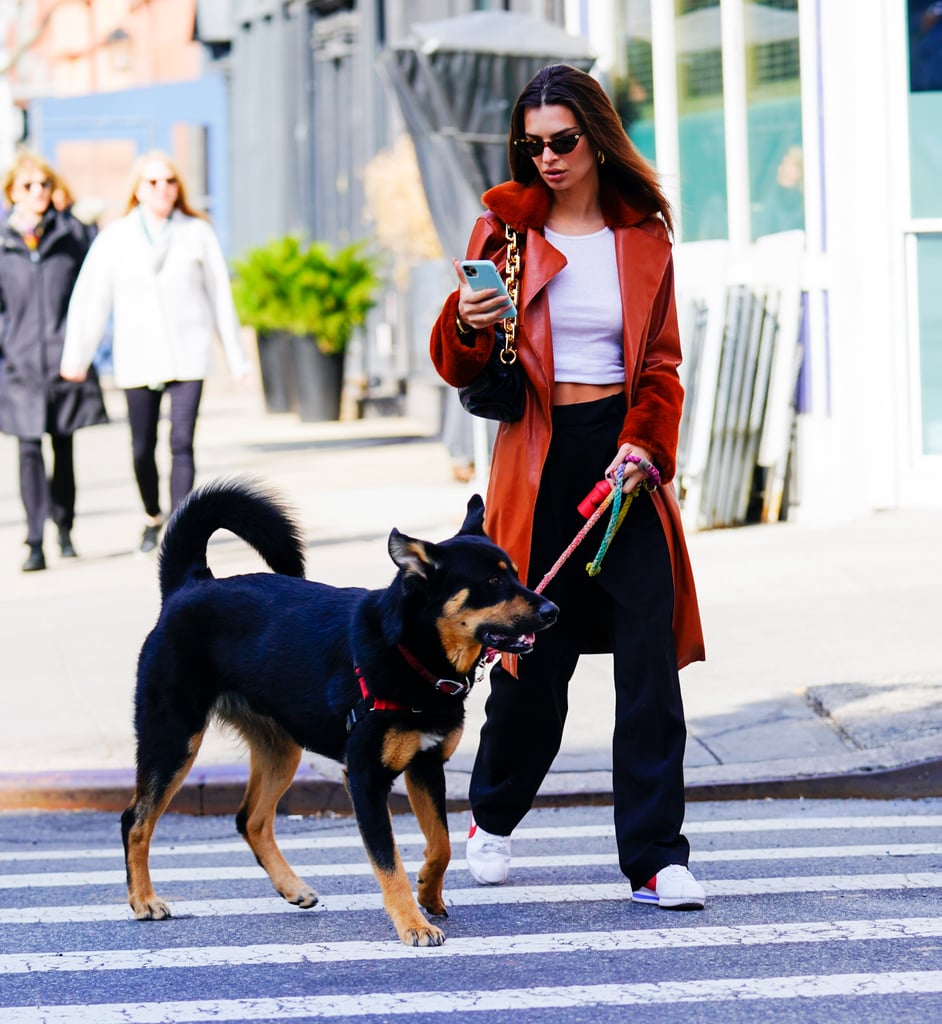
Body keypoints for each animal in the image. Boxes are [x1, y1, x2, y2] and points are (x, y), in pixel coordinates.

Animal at [120, 479, 557, 942]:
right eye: (492, 580)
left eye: (515, 573)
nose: (553, 610)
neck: (409, 651)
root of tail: (190, 585)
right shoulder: (365, 779)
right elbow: (389, 862)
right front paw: (412, 923)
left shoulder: (426, 766)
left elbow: (441, 843)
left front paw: (429, 893)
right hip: (174, 739)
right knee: (136, 819)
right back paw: (144, 900)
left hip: (280, 750)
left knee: (250, 819)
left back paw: (292, 887)